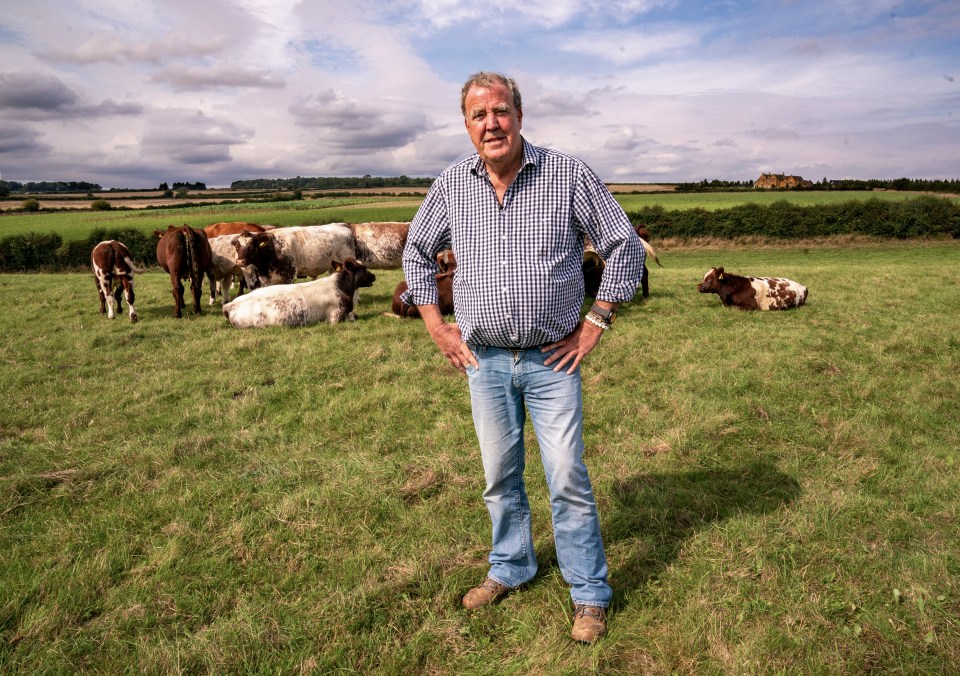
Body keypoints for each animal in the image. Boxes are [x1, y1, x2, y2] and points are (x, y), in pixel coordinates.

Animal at [223, 256, 376, 328]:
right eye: (363, 268)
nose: (373, 276)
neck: (341, 287)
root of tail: (229, 306)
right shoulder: (335, 317)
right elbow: (353, 317)